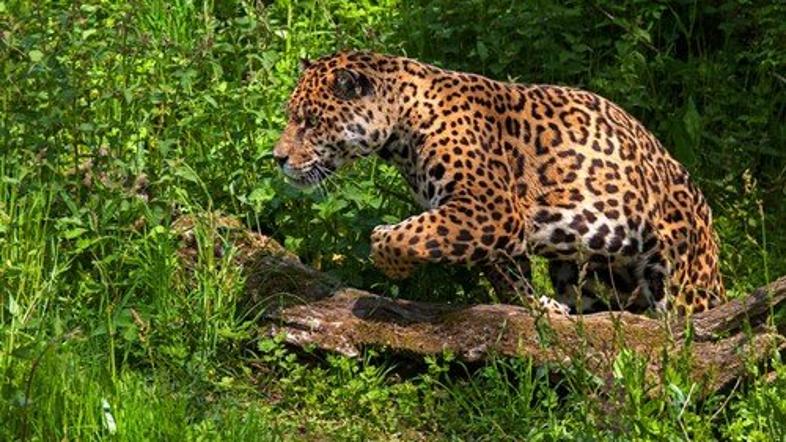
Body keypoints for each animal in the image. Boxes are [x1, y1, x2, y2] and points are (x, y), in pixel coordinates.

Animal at [273, 51, 725, 315]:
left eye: (310, 122)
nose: (277, 159)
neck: (402, 131)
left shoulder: (490, 210)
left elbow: (402, 236)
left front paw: (391, 262)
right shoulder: (492, 229)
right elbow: (508, 277)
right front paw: (541, 308)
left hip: (680, 270)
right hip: (583, 267)